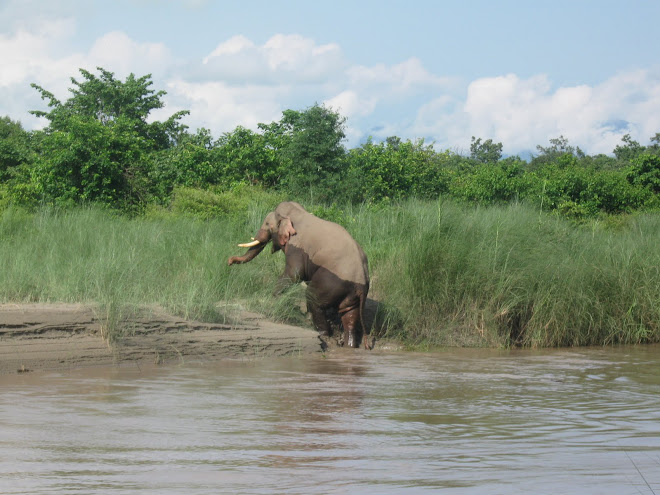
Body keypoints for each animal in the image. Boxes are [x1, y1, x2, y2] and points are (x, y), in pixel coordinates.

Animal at [227, 202, 372, 348]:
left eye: (267, 223)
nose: (229, 261)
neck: (297, 213)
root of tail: (362, 284)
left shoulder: (296, 245)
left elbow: (295, 273)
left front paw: (275, 298)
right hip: (350, 294)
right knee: (349, 315)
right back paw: (349, 345)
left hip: (332, 282)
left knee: (314, 298)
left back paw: (322, 333)